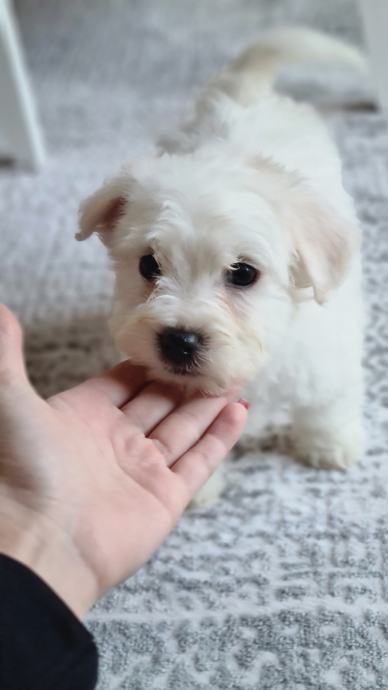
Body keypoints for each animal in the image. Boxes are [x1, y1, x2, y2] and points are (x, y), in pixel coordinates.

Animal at [78, 26, 366, 498]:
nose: (179, 340)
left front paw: (332, 447)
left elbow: (327, 404)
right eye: (148, 266)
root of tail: (246, 89)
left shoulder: (325, 355)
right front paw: (200, 490)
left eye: (243, 273)